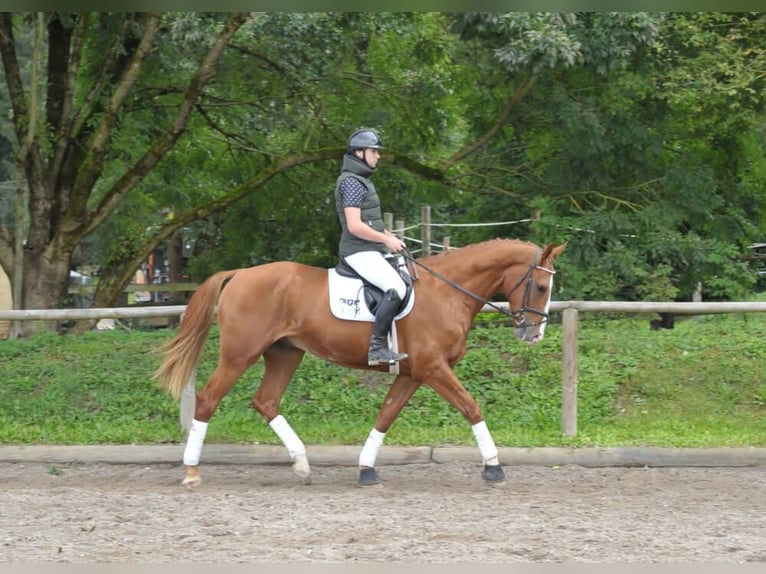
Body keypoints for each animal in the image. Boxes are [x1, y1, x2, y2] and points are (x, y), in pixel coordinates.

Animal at [156, 238, 568, 490]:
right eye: (541, 287)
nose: (534, 335)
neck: (447, 291)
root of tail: (240, 274)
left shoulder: (414, 373)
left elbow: (386, 415)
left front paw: (366, 469)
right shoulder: (433, 368)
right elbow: (471, 407)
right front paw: (493, 466)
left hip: (286, 353)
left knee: (266, 401)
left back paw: (302, 464)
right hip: (240, 353)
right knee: (209, 399)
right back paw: (191, 472)